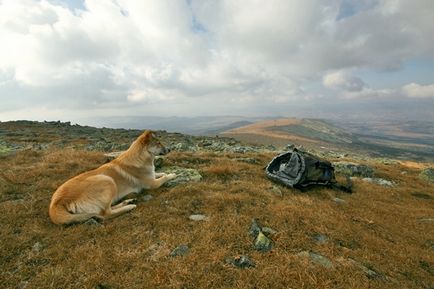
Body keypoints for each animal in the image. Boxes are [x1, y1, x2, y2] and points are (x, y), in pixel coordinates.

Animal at [50, 130, 178, 225]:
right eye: (158, 143)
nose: (170, 149)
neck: (141, 156)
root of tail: (56, 204)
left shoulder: (151, 176)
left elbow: (158, 173)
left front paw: (165, 173)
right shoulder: (152, 184)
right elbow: (163, 178)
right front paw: (172, 174)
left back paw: (128, 201)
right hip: (107, 180)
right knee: (106, 214)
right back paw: (129, 206)